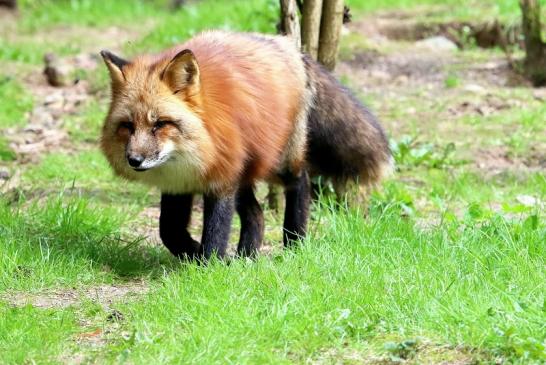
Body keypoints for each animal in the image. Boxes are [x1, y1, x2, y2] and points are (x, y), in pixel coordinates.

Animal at [100, 30, 392, 258]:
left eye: (160, 124)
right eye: (127, 126)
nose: (134, 160)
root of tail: (288, 45)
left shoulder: (222, 177)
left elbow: (215, 234)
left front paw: (208, 268)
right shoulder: (179, 183)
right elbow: (169, 231)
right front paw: (199, 257)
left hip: (277, 160)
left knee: (301, 183)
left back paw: (293, 245)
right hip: (246, 171)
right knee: (257, 214)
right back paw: (246, 257)